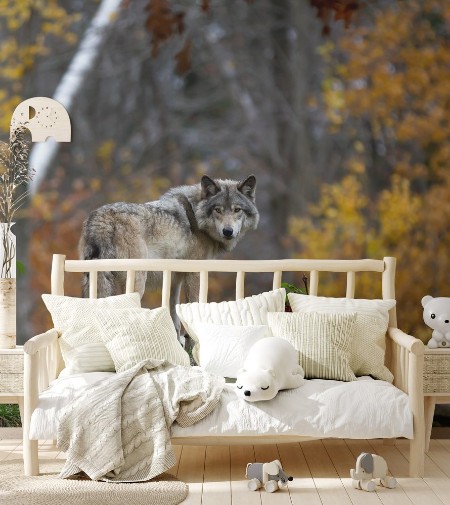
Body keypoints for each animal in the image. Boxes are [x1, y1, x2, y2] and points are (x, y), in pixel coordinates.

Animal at [79, 173, 258, 330]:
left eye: (237, 210)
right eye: (218, 210)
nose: (228, 231)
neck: (196, 217)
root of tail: (101, 218)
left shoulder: (174, 279)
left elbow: (174, 317)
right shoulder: (195, 274)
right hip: (137, 281)